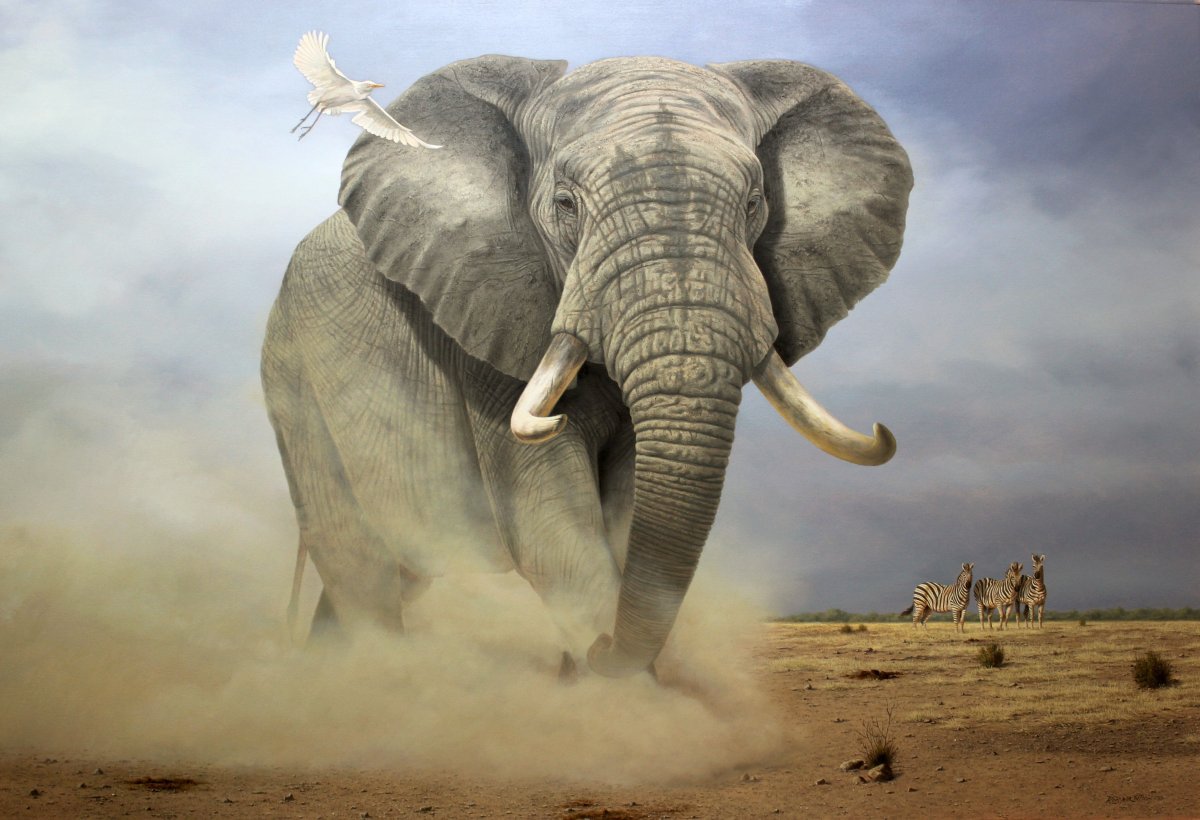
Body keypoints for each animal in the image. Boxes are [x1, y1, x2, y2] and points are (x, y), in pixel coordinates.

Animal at [261, 54, 913, 678]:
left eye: (754, 204)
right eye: (565, 205)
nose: (599, 650)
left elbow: (625, 515)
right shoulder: (488, 317)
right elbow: (552, 527)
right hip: (293, 382)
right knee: (357, 558)